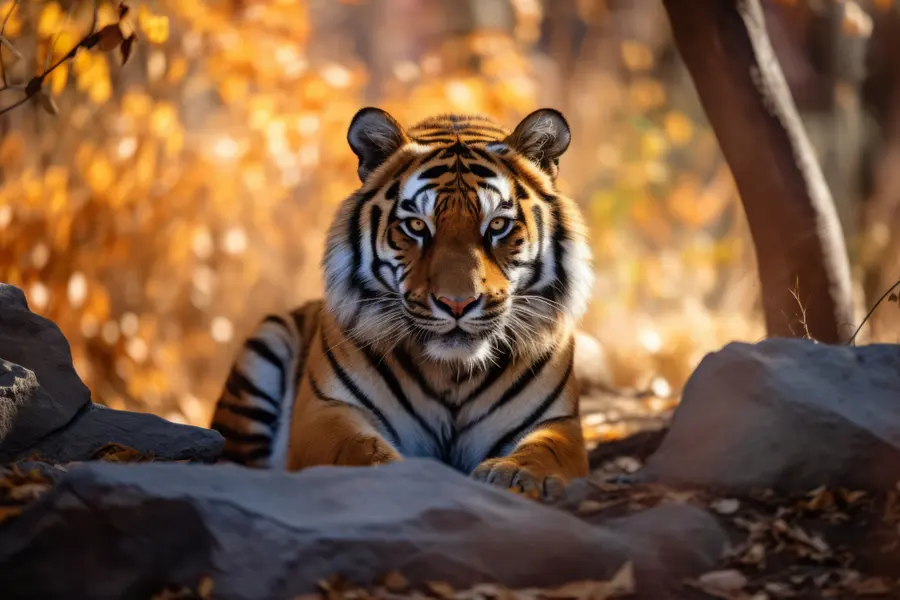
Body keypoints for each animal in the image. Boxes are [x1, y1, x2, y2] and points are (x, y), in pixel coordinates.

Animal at [210, 107, 595, 500]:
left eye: (498, 224)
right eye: (416, 226)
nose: (457, 304)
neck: (452, 373)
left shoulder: (559, 423)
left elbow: (544, 450)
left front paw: (515, 477)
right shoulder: (325, 410)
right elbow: (358, 450)